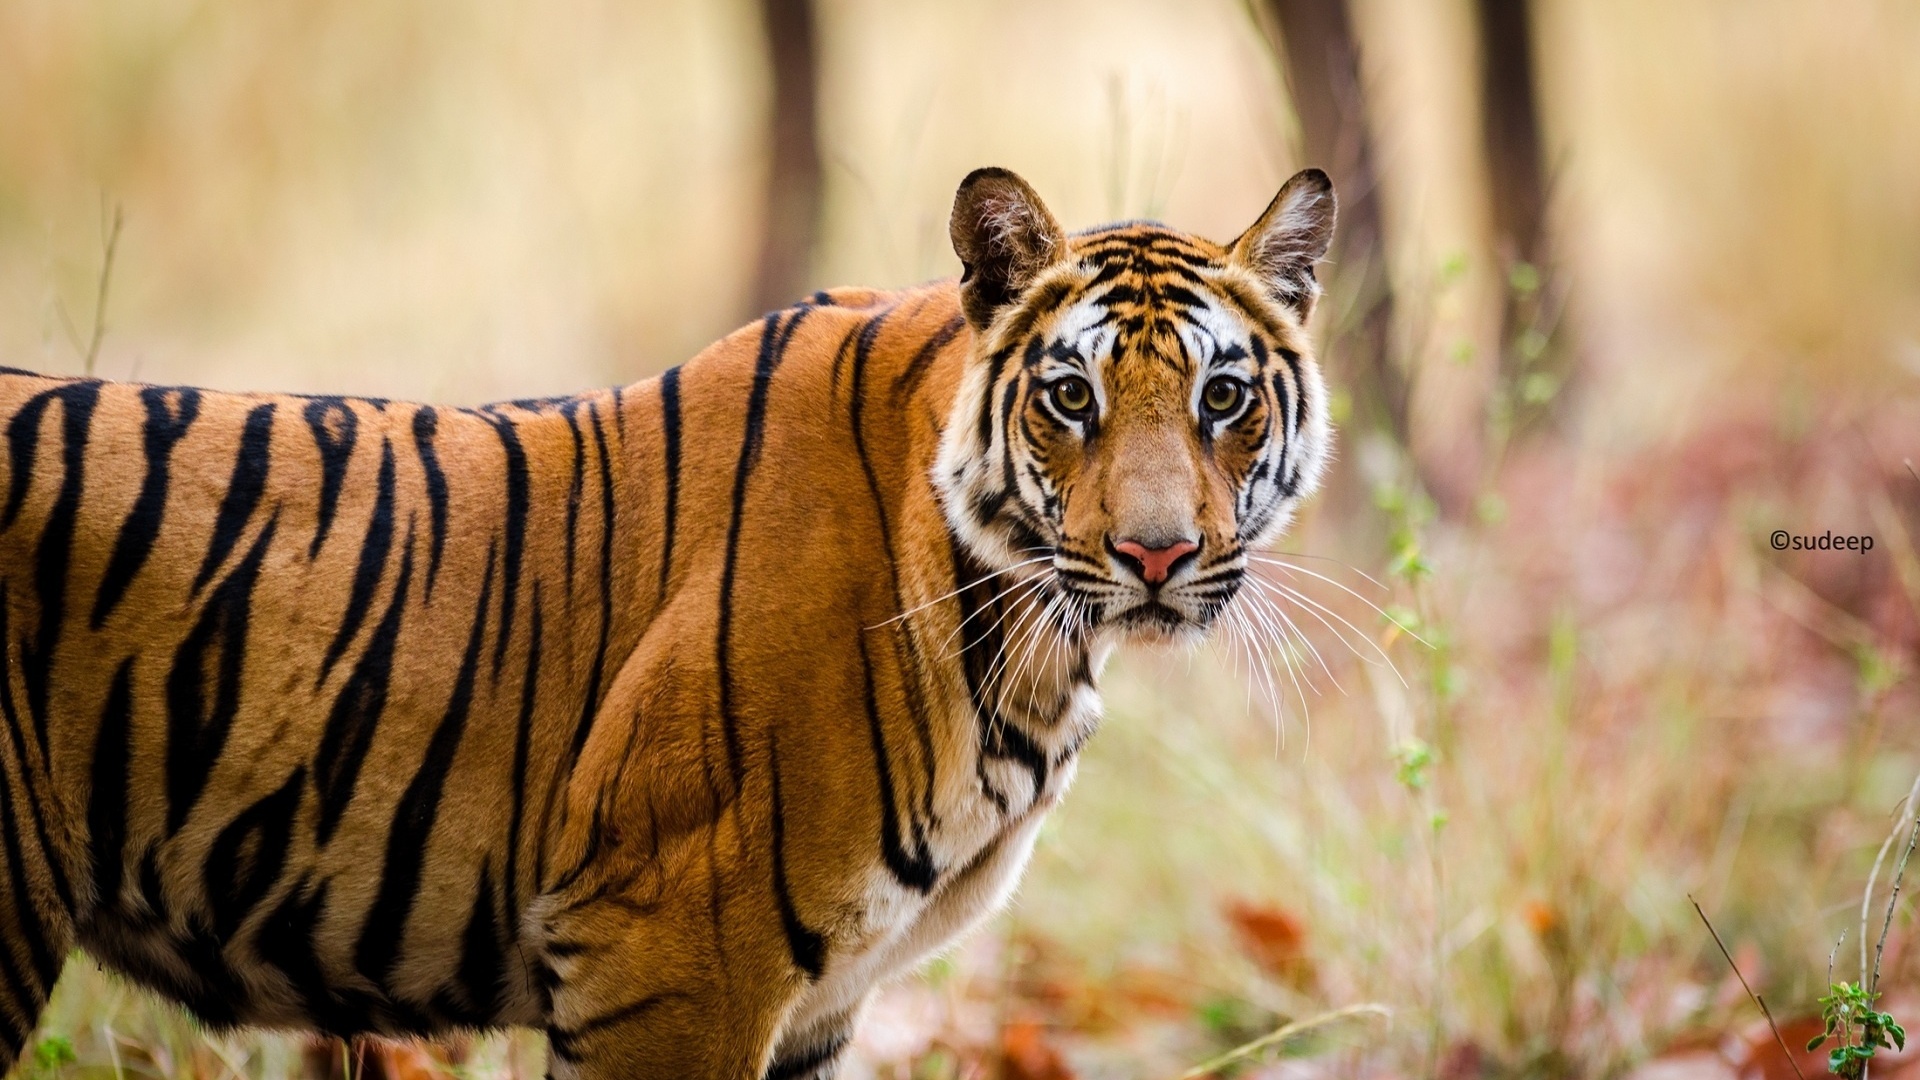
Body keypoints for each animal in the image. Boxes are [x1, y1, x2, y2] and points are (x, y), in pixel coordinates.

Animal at [0, 165, 1334, 1078]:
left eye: (1224, 398)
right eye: (1070, 396)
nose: (1156, 554)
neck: (1031, 643)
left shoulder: (817, 1005)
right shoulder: (674, 949)